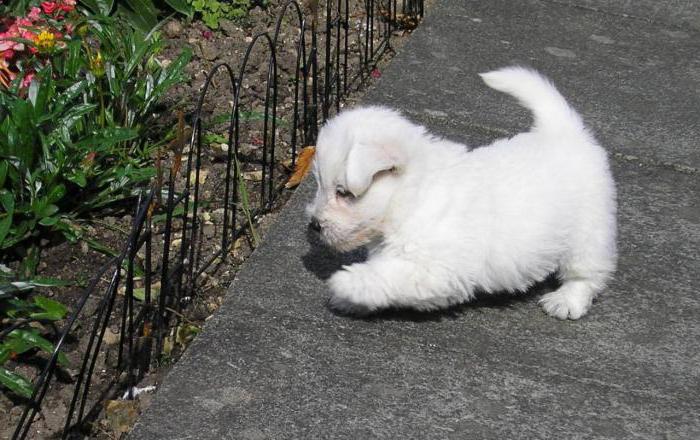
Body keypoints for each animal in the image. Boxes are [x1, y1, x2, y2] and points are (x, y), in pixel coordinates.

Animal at [308, 66, 616, 320]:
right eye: (320, 185)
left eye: (343, 193)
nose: (314, 225)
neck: (411, 199)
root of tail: (565, 131)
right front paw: (352, 301)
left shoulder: (437, 269)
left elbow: (388, 274)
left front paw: (346, 282)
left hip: (588, 232)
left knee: (586, 275)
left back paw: (567, 301)